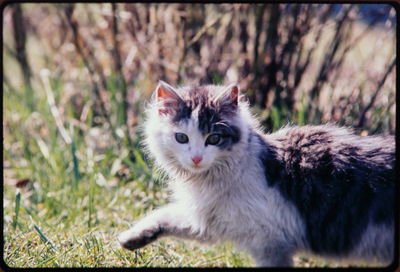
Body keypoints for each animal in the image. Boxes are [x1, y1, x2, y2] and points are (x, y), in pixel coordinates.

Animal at [117, 81, 396, 268]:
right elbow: (165, 215)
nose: (196, 158)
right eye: (181, 138)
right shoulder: (211, 222)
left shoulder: (269, 243)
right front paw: (131, 238)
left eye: (214, 138)